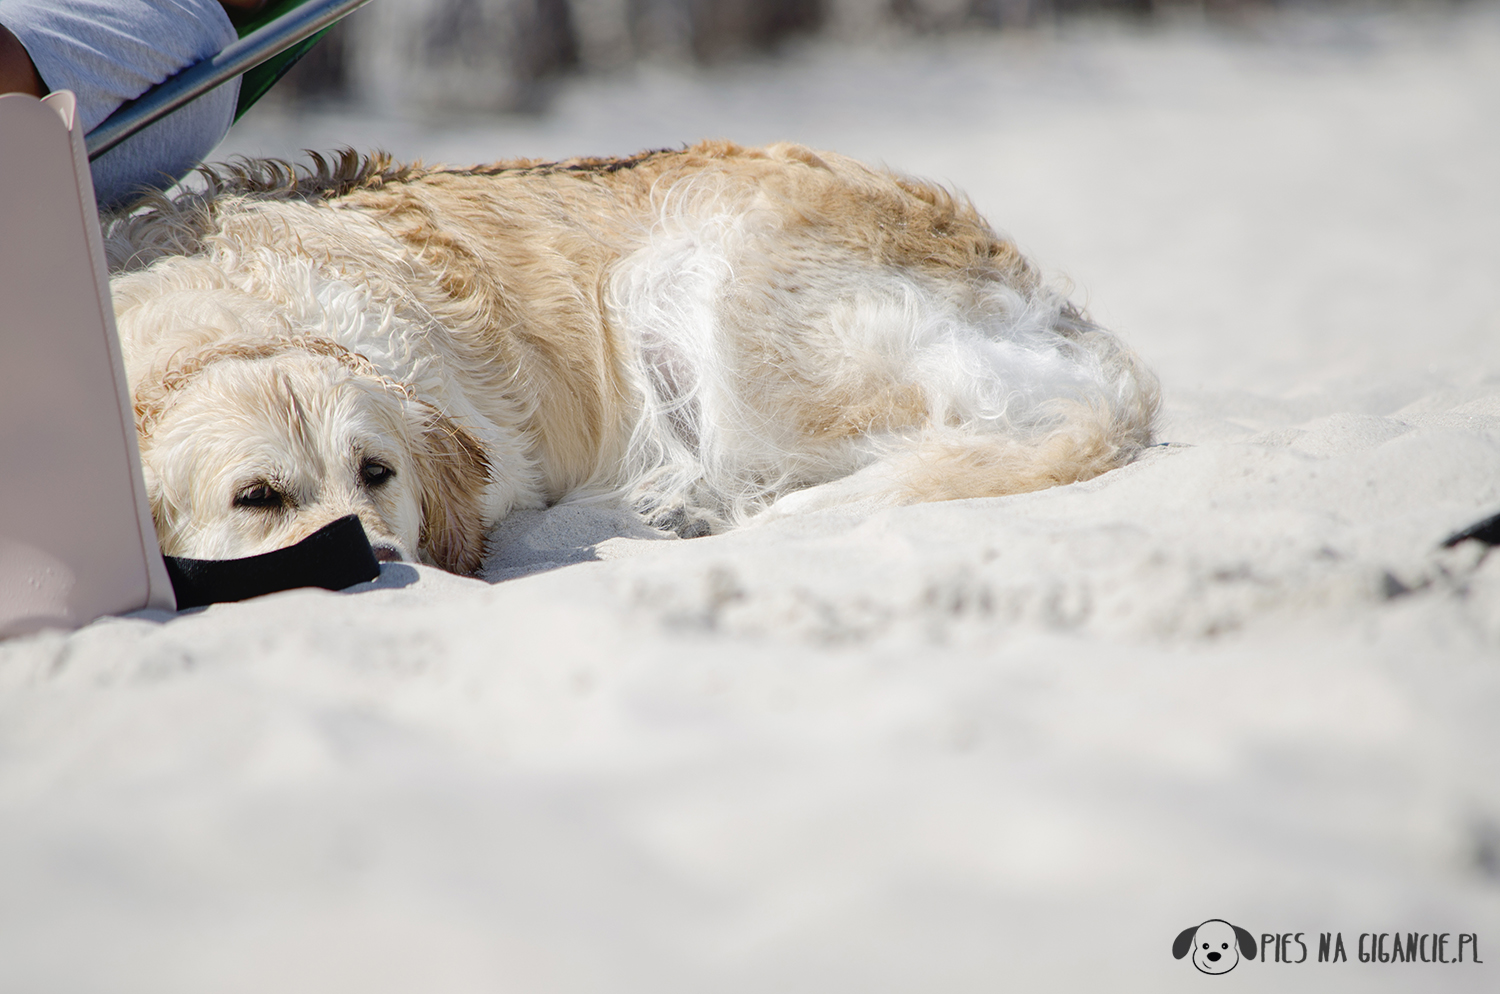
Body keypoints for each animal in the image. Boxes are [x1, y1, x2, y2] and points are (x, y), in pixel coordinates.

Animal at [105, 140, 1158, 575]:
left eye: (379, 473)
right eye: (256, 499)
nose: (383, 568)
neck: (225, 319)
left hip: (708, 299)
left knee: (983, 427)